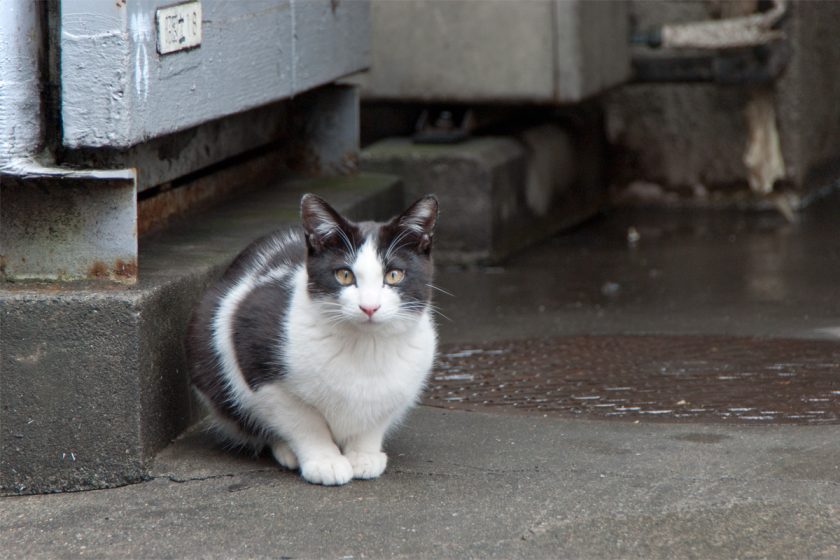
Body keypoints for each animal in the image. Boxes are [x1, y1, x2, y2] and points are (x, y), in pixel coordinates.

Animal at [186, 194, 440, 486]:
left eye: (394, 275)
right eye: (344, 275)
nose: (369, 307)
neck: (365, 346)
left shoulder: (406, 380)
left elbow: (376, 417)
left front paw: (363, 454)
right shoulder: (258, 362)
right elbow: (303, 421)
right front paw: (324, 460)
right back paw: (285, 450)